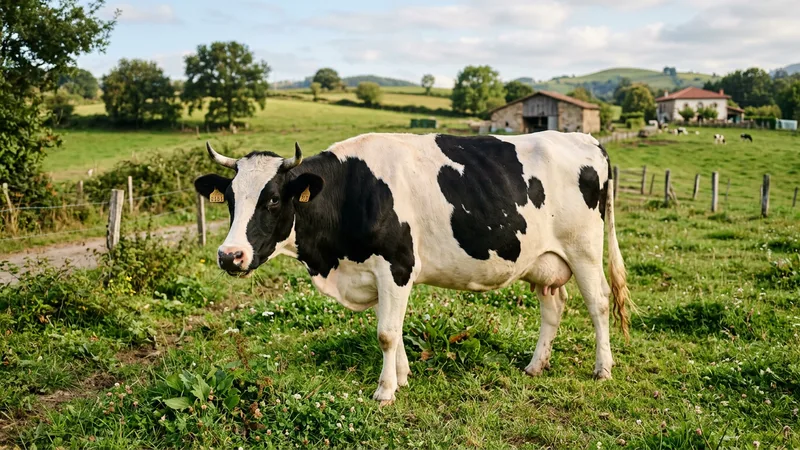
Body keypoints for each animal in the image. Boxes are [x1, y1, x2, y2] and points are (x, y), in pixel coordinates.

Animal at [194, 131, 631, 403]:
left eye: (271, 199)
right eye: (229, 199)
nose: (229, 255)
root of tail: (585, 138)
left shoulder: (397, 264)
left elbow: (386, 333)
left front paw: (385, 391)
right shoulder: (376, 273)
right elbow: (395, 331)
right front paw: (402, 377)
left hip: (584, 249)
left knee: (599, 305)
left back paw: (603, 368)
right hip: (545, 260)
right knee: (553, 308)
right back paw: (536, 365)